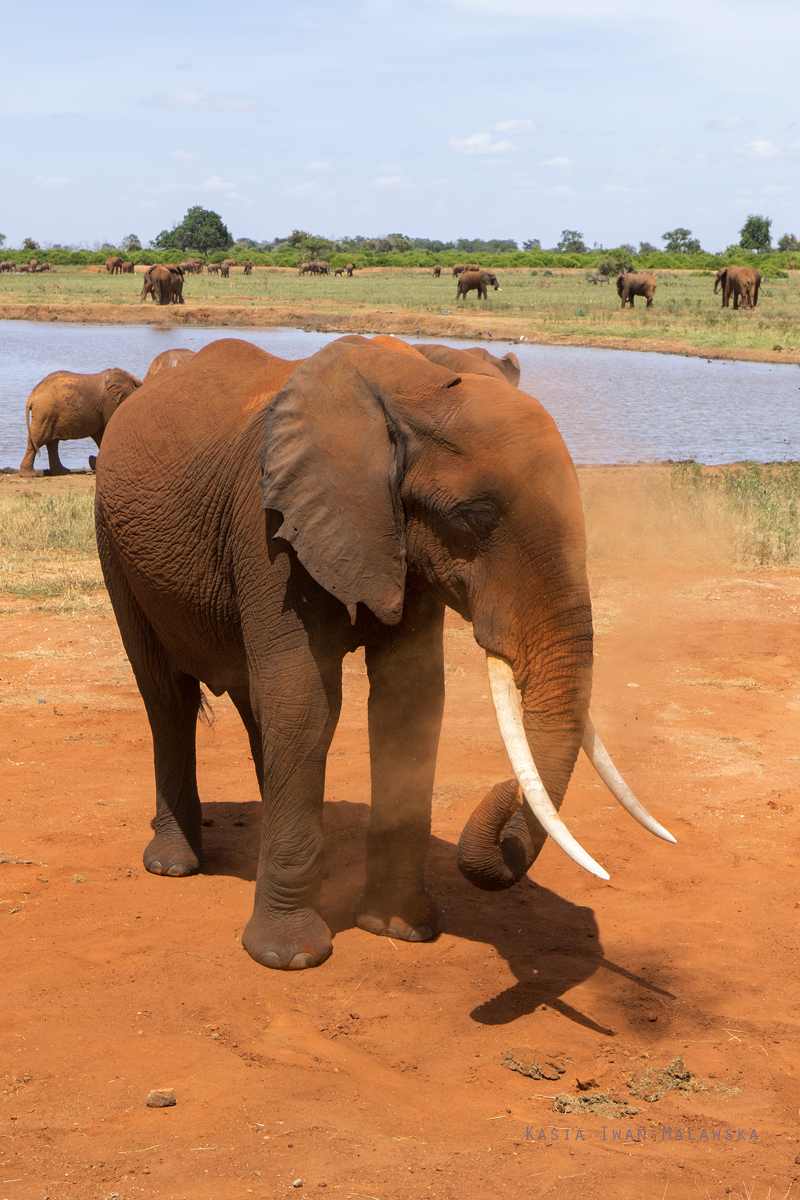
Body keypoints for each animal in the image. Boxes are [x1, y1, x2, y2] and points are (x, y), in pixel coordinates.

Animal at [95, 333, 676, 969]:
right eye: (472, 518)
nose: (504, 798)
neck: (412, 385)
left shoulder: (406, 552)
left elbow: (409, 701)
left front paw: (401, 929)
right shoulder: (270, 526)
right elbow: (305, 703)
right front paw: (288, 957)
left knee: (251, 702)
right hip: (114, 543)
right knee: (168, 698)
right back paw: (174, 865)